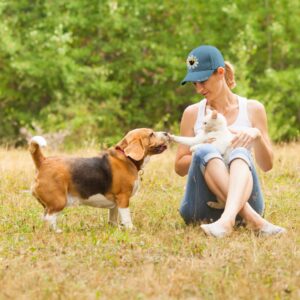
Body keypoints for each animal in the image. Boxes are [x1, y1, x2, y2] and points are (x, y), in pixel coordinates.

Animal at [29, 128, 170, 232]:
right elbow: (126, 217)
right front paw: (131, 229)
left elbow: (113, 217)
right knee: (49, 219)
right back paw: (57, 231)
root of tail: (43, 161)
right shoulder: (123, 198)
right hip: (59, 201)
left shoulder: (116, 202)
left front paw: (115, 228)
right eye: (151, 134)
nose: (167, 133)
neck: (126, 157)